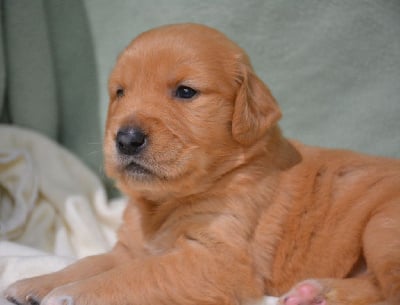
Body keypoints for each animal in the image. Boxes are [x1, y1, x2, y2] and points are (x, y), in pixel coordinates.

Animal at [3, 23, 400, 304]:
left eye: (185, 92)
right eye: (120, 92)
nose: (126, 138)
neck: (165, 203)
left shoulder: (216, 260)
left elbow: (131, 277)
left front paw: (68, 294)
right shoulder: (131, 249)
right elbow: (89, 263)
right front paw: (36, 283)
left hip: (382, 226)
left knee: (389, 290)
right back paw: (313, 293)